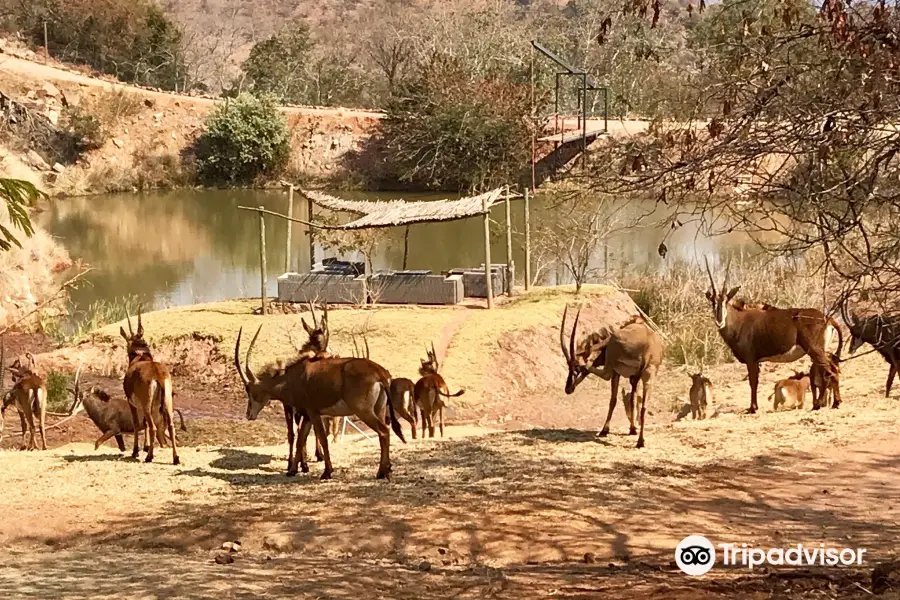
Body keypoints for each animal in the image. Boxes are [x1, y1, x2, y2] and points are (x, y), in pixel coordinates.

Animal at [121, 310, 181, 464]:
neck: (141, 357)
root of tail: (158, 375)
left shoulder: (132, 403)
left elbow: (137, 423)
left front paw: (136, 451)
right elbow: (145, 423)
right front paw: (146, 446)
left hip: (147, 405)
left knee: (153, 426)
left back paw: (149, 457)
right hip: (167, 402)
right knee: (171, 426)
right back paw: (176, 458)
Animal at [234, 326, 406, 480]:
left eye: (249, 389)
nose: (249, 414)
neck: (292, 377)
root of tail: (379, 372)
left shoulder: (313, 412)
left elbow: (322, 438)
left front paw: (326, 472)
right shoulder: (307, 415)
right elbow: (301, 439)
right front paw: (293, 470)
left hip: (364, 411)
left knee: (383, 431)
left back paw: (381, 472)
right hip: (379, 409)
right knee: (386, 430)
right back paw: (387, 470)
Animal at [564, 308, 660, 448]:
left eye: (574, 368)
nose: (568, 389)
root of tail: (647, 349)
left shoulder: (617, 373)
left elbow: (613, 400)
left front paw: (605, 430)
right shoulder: (634, 378)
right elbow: (633, 399)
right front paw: (633, 429)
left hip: (613, 364)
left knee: (605, 375)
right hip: (649, 376)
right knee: (644, 406)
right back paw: (640, 442)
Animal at [704, 255, 844, 414]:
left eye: (725, 301)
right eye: (712, 302)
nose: (719, 321)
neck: (739, 321)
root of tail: (827, 318)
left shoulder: (751, 359)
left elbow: (753, 382)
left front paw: (752, 408)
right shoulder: (757, 361)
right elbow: (755, 382)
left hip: (815, 350)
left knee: (829, 372)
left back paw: (826, 403)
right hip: (819, 352)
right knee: (828, 371)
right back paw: (827, 403)